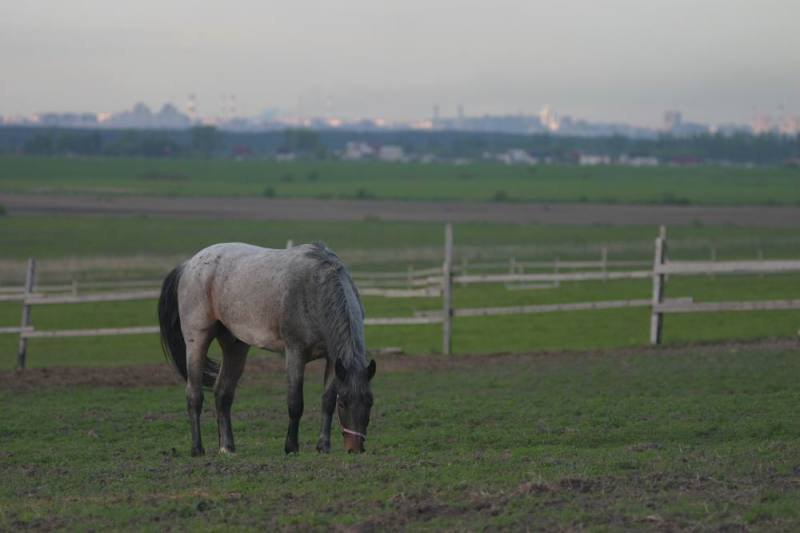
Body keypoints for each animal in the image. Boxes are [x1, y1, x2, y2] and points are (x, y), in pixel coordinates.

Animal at [161, 241, 380, 454]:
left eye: (370, 401)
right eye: (343, 403)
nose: (355, 448)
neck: (315, 287)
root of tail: (188, 265)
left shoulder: (333, 359)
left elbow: (326, 401)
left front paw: (323, 446)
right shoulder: (295, 353)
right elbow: (295, 403)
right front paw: (291, 447)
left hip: (235, 346)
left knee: (223, 394)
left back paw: (227, 447)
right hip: (197, 341)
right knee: (194, 395)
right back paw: (197, 449)